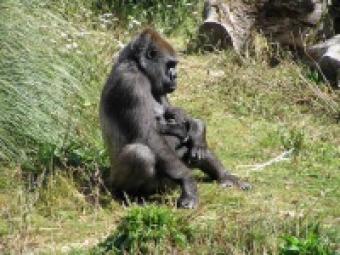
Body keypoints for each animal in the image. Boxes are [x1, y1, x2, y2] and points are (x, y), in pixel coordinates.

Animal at [98, 28, 250, 208]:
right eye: (170, 65)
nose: (175, 76)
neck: (136, 65)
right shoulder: (129, 83)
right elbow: (149, 136)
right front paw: (188, 181)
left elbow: (177, 115)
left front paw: (198, 128)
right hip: (125, 184)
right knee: (140, 154)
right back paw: (128, 196)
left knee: (191, 146)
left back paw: (225, 175)